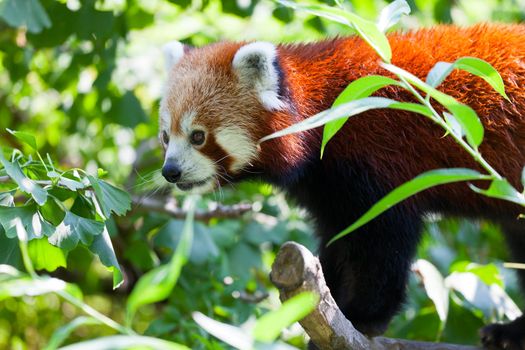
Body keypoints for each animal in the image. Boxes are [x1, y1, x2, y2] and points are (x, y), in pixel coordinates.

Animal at [158, 23, 524, 348]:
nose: (170, 171)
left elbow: (382, 243)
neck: (324, 113)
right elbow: (336, 238)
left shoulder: (376, 156)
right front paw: (322, 299)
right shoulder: (326, 189)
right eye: (165, 136)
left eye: (198, 136)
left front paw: (363, 315)